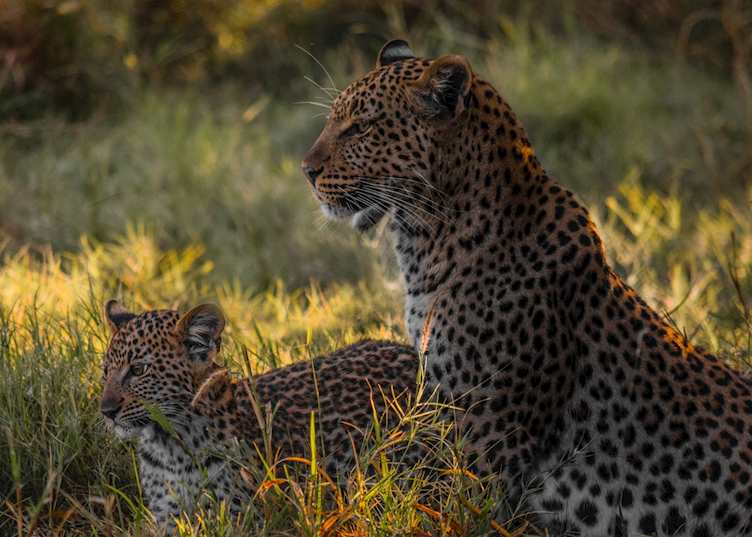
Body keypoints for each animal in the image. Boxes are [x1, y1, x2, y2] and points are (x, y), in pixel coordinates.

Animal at [100, 300, 416, 531]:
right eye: (105, 371)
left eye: (139, 370)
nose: (106, 411)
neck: (168, 447)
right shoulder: (168, 517)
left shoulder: (239, 519)